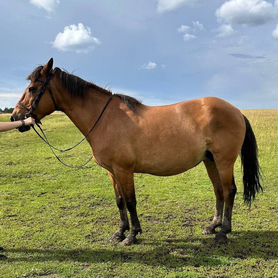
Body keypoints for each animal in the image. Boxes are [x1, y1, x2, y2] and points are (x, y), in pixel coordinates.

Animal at [11, 57, 262, 244]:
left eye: (33, 88)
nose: (15, 117)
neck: (104, 119)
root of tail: (236, 111)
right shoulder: (112, 172)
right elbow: (120, 201)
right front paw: (120, 232)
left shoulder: (124, 170)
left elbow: (131, 201)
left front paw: (132, 235)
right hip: (210, 161)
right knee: (218, 191)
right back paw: (213, 225)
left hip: (224, 161)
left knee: (229, 191)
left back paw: (224, 230)